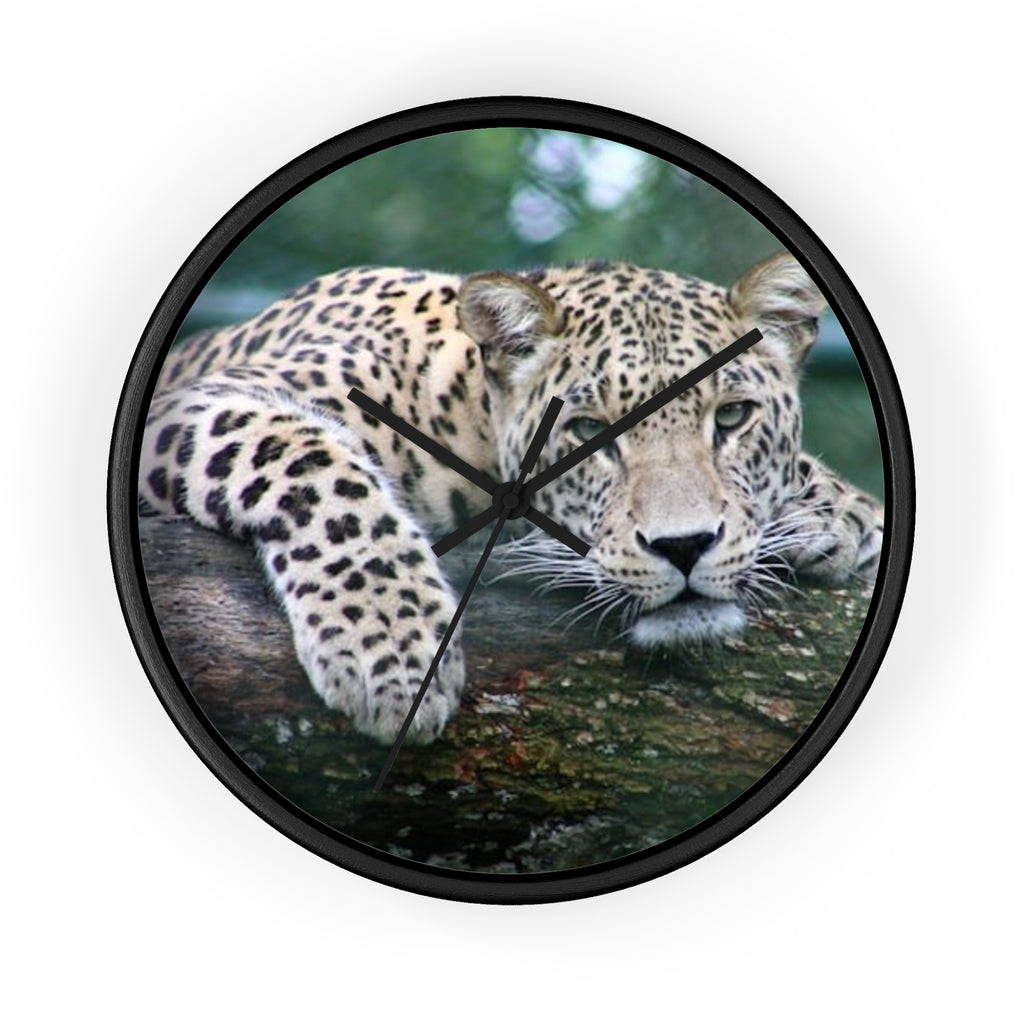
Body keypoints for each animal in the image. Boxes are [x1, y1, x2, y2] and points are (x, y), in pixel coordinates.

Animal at [139, 254, 883, 745]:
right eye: (587, 432)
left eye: (732, 417)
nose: (684, 546)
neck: (465, 413)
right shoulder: (200, 406)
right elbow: (320, 468)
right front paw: (393, 651)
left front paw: (839, 514)